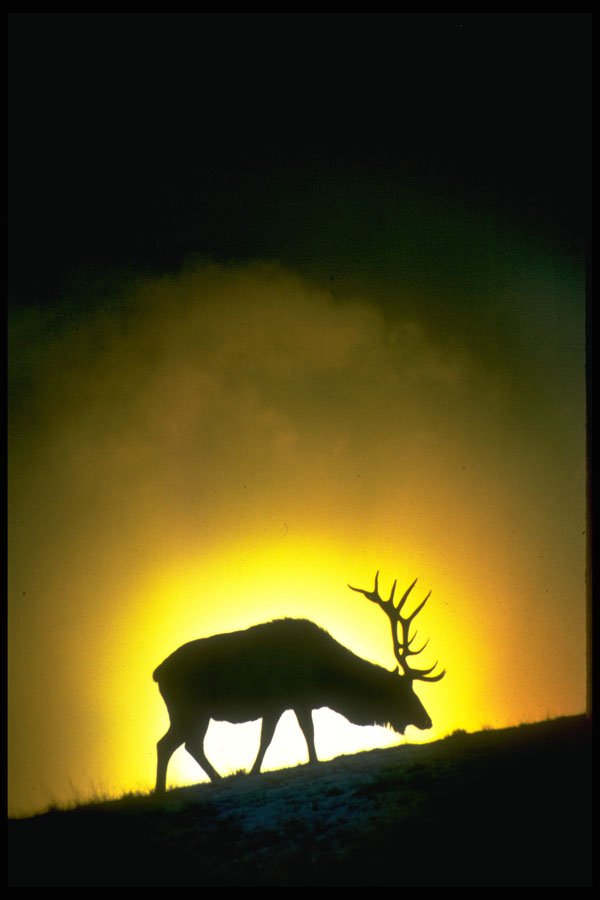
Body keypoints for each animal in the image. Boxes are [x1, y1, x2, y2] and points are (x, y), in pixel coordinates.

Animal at [153, 572, 445, 793]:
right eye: (404, 692)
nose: (427, 720)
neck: (325, 680)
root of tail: (157, 674)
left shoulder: (282, 704)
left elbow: (272, 738)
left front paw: (255, 770)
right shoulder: (292, 699)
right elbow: (298, 734)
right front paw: (302, 763)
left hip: (192, 713)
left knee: (181, 744)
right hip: (189, 710)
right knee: (175, 744)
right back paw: (192, 783)